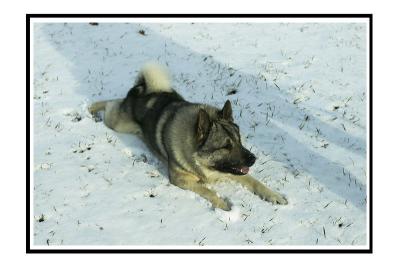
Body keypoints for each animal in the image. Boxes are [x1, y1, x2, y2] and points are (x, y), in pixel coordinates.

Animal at [88, 62, 288, 209]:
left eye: (239, 141)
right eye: (226, 146)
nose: (253, 159)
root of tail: (140, 88)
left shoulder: (235, 171)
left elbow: (255, 181)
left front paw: (274, 195)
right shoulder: (181, 180)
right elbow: (208, 191)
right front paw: (223, 203)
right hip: (119, 124)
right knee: (111, 103)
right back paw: (91, 109)